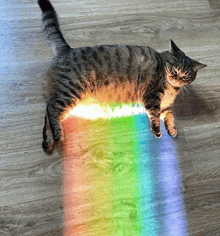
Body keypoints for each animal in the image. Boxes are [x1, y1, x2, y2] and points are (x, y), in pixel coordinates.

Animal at [37, 0, 206, 154]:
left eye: (185, 76)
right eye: (174, 69)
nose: (176, 78)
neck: (171, 88)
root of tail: (67, 50)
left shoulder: (165, 105)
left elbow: (169, 116)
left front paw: (172, 129)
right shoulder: (152, 96)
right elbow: (155, 114)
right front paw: (157, 130)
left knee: (48, 112)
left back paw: (48, 141)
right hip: (72, 91)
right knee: (52, 109)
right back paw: (57, 135)